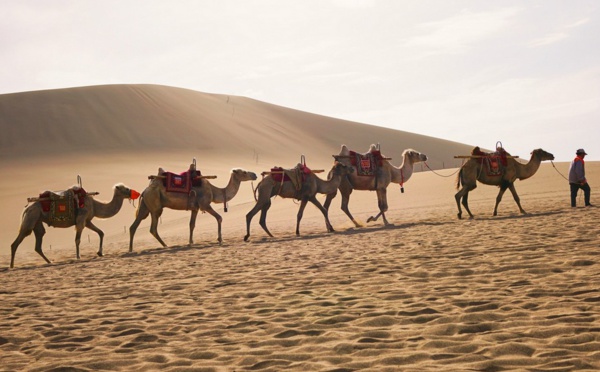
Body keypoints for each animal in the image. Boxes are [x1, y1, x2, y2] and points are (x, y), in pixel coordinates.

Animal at [8, 185, 140, 268]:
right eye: (126, 188)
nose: (136, 193)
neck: (95, 205)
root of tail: (26, 209)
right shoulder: (81, 219)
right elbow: (77, 240)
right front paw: (78, 257)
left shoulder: (87, 220)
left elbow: (101, 232)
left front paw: (100, 253)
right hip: (31, 218)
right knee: (16, 242)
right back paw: (12, 266)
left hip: (37, 222)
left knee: (38, 243)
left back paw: (50, 261)